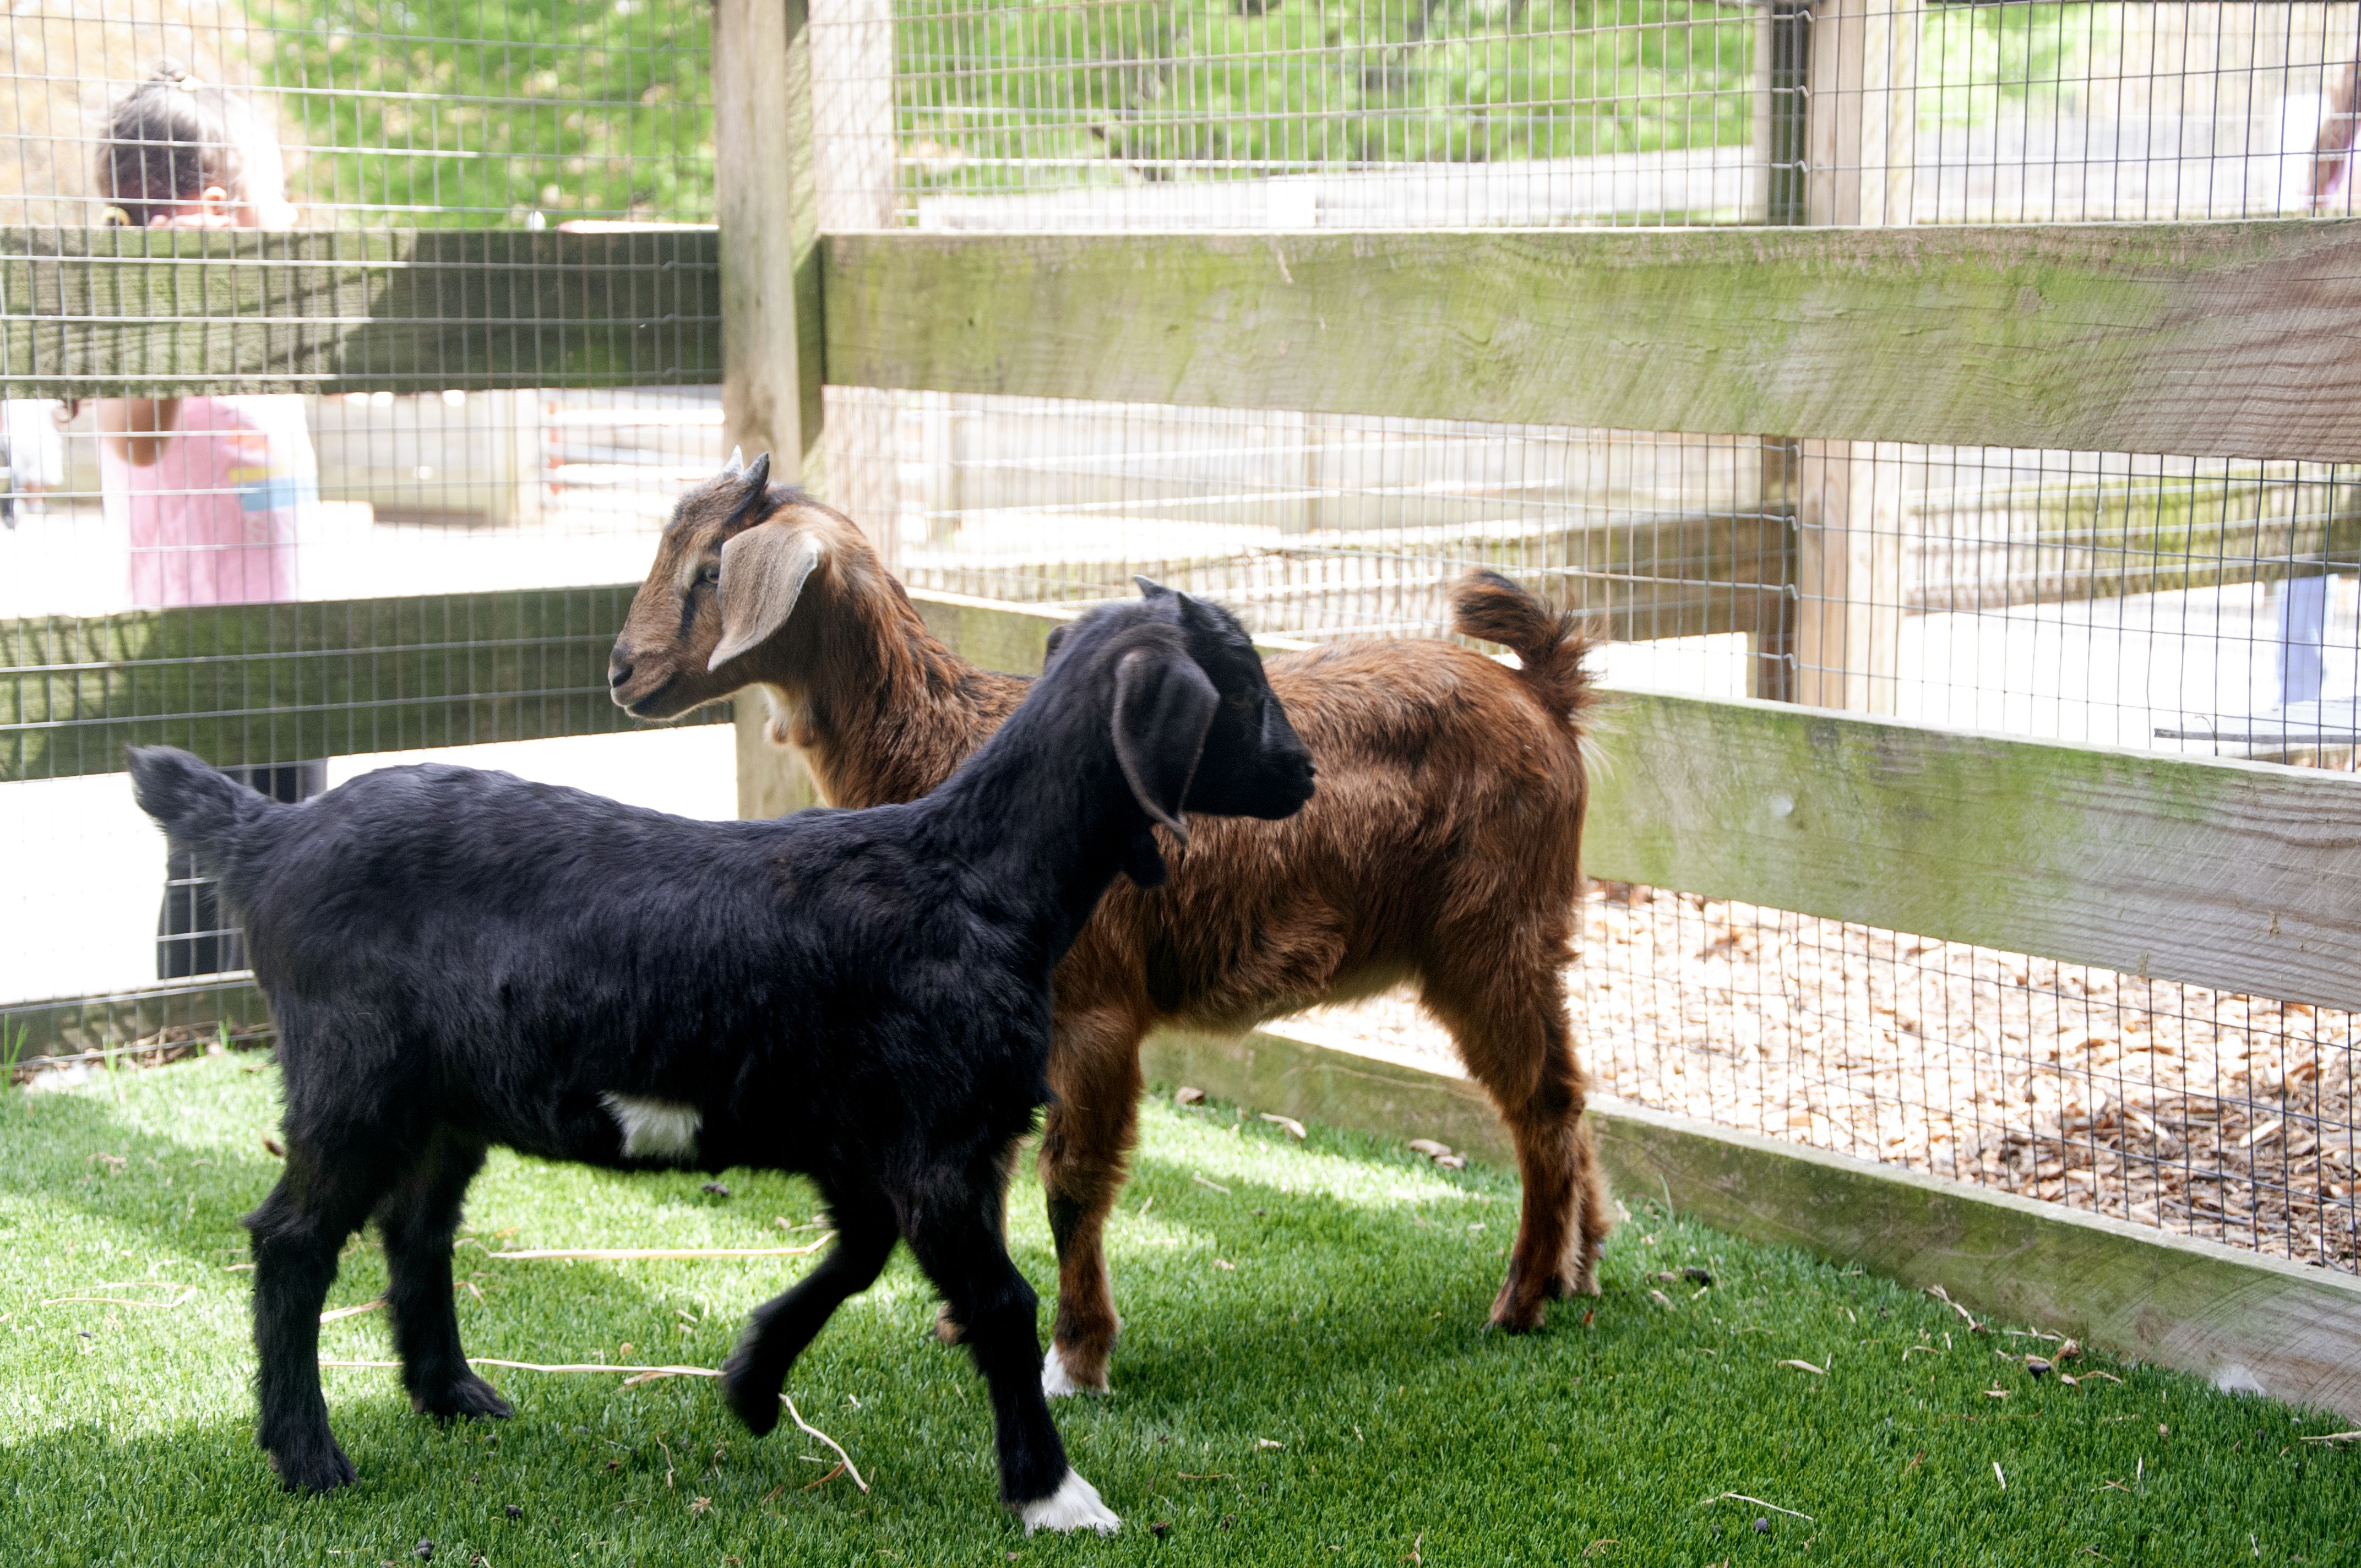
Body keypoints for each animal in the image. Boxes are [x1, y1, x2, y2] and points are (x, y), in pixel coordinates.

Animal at [128, 555, 1317, 1528]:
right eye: (1243, 679)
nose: (1303, 771)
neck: (972, 876)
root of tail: (269, 835)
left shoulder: (865, 1136)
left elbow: (857, 1253)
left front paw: (751, 1379)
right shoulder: (942, 1138)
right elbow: (998, 1301)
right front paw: (1053, 1492)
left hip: (444, 1097)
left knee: (417, 1228)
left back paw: (453, 1391)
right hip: (352, 1074)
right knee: (292, 1240)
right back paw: (308, 1453)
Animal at [610, 453, 1605, 1399]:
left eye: (711, 570)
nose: (621, 669)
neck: (955, 752)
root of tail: (1542, 695)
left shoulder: (1092, 1012)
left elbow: (1072, 1180)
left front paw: (1076, 1356)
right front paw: (963, 1318)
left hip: (1488, 934)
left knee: (1540, 1101)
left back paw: (1520, 1299)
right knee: (1567, 1086)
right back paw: (1581, 1268)